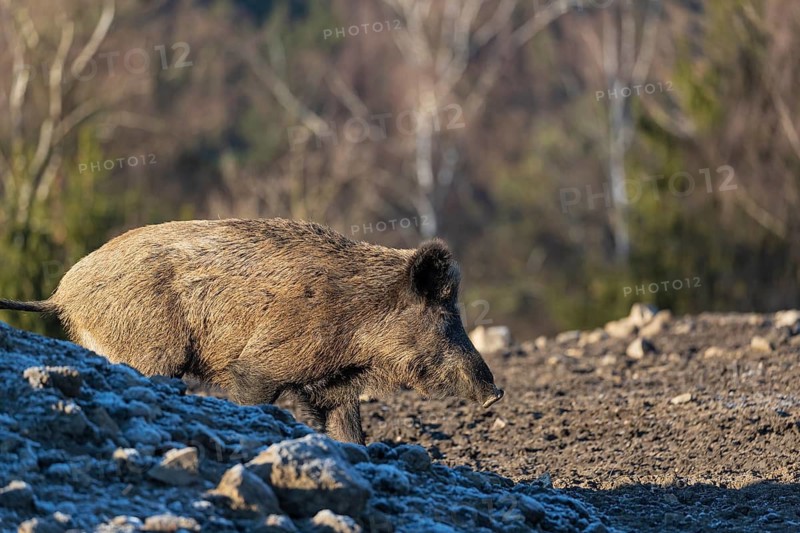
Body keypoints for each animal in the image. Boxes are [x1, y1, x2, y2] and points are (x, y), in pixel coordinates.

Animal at [0, 218, 504, 443]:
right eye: (441, 318)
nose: (495, 392)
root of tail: (62, 294)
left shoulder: (331, 387)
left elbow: (347, 430)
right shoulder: (263, 364)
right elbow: (253, 394)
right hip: (149, 350)